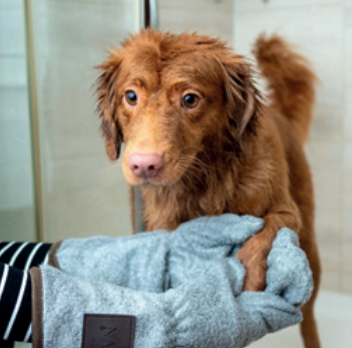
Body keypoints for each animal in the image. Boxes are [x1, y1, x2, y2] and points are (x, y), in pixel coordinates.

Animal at [96, 29, 322, 348]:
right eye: (131, 97)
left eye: (190, 99)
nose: (144, 165)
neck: (202, 182)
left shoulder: (287, 212)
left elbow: (265, 232)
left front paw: (248, 276)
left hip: (310, 242)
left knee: (310, 314)